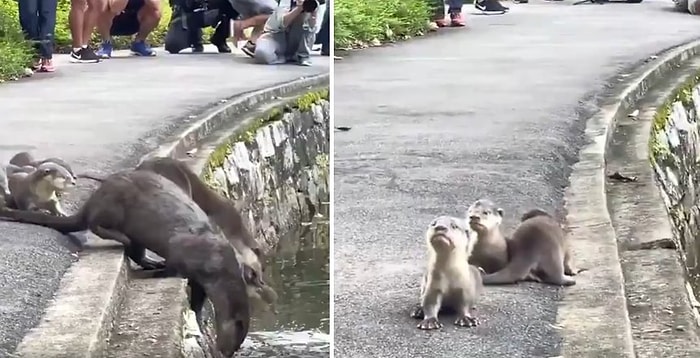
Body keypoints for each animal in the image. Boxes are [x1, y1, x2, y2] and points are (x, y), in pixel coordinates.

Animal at [0, 170, 252, 356]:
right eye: (233, 343)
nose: (223, 353)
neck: (217, 263)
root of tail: (93, 199)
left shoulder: (202, 279)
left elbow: (198, 300)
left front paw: (199, 321)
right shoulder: (183, 250)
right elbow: (174, 265)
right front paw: (163, 273)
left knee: (135, 251)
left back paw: (150, 262)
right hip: (113, 207)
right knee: (95, 224)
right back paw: (126, 242)